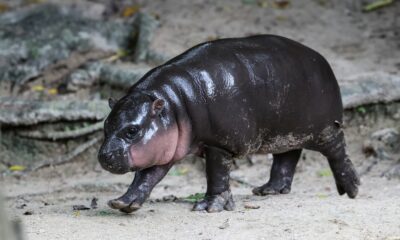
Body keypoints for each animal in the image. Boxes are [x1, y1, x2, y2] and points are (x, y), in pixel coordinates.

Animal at [98, 34, 360, 213]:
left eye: (132, 130)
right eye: (105, 125)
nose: (104, 156)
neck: (173, 104)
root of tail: (321, 59)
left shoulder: (220, 144)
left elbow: (217, 175)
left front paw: (209, 207)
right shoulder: (164, 148)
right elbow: (146, 177)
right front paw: (123, 203)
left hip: (325, 128)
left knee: (338, 151)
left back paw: (351, 190)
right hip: (285, 130)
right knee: (287, 156)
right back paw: (267, 191)